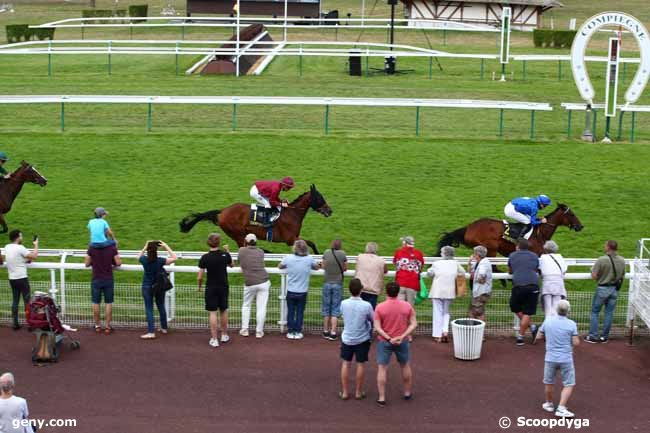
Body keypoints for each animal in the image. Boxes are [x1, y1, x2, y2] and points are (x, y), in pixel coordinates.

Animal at [177, 185, 330, 253]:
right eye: (319, 198)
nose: (330, 211)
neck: (292, 214)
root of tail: (222, 212)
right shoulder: (290, 239)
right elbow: (309, 243)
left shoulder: (294, 238)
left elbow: (310, 243)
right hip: (237, 233)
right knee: (243, 247)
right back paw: (265, 251)